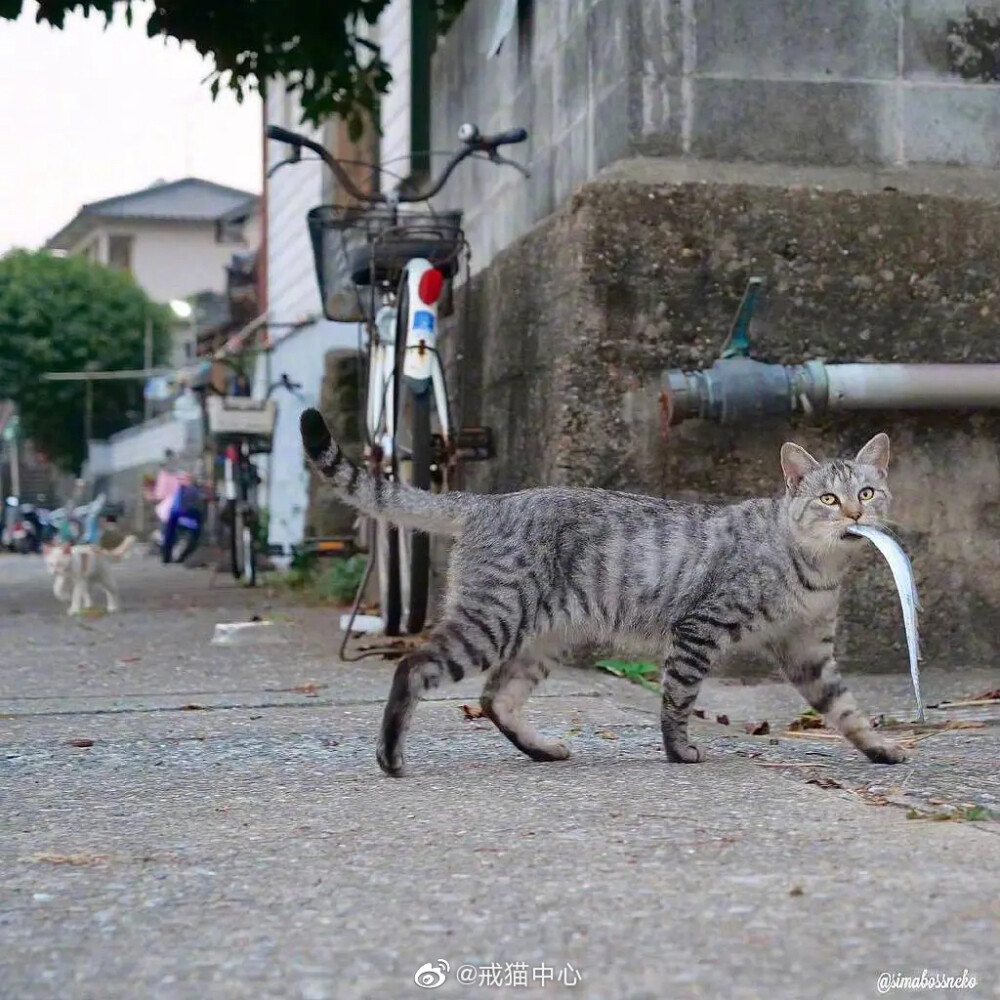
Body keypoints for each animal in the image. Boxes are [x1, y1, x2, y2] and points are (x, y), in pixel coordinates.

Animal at [298, 406, 908, 772]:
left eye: (868, 493)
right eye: (827, 499)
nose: (855, 513)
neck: (817, 569)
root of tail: (488, 501)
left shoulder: (809, 651)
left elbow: (846, 709)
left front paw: (880, 747)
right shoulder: (700, 628)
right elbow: (679, 698)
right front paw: (679, 751)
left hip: (544, 638)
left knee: (496, 697)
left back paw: (542, 749)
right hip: (492, 622)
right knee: (413, 666)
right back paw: (390, 754)